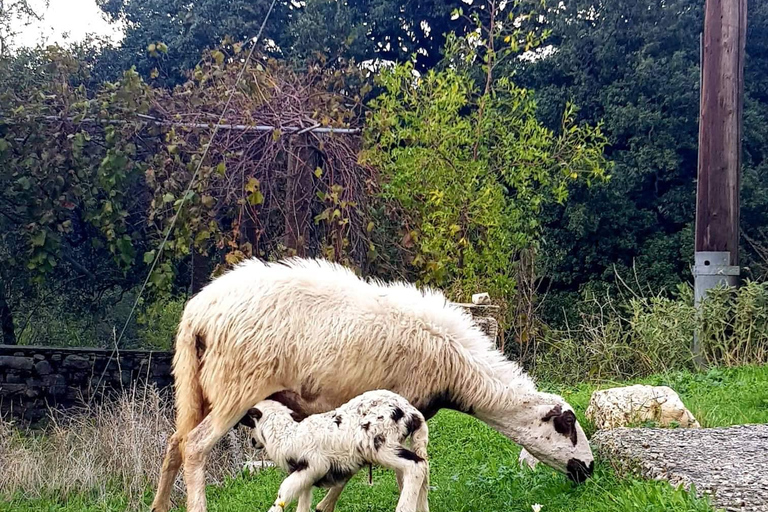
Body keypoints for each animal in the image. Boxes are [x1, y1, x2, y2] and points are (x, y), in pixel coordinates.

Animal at [243, 388, 428, 512]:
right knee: (421, 472)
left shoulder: (313, 465)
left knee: (416, 465)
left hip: (377, 444)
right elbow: (303, 501)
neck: (286, 434)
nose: (252, 442)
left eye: (250, 422)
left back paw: (404, 508)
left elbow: (284, 492)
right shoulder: (307, 474)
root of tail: (411, 412)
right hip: (404, 442)